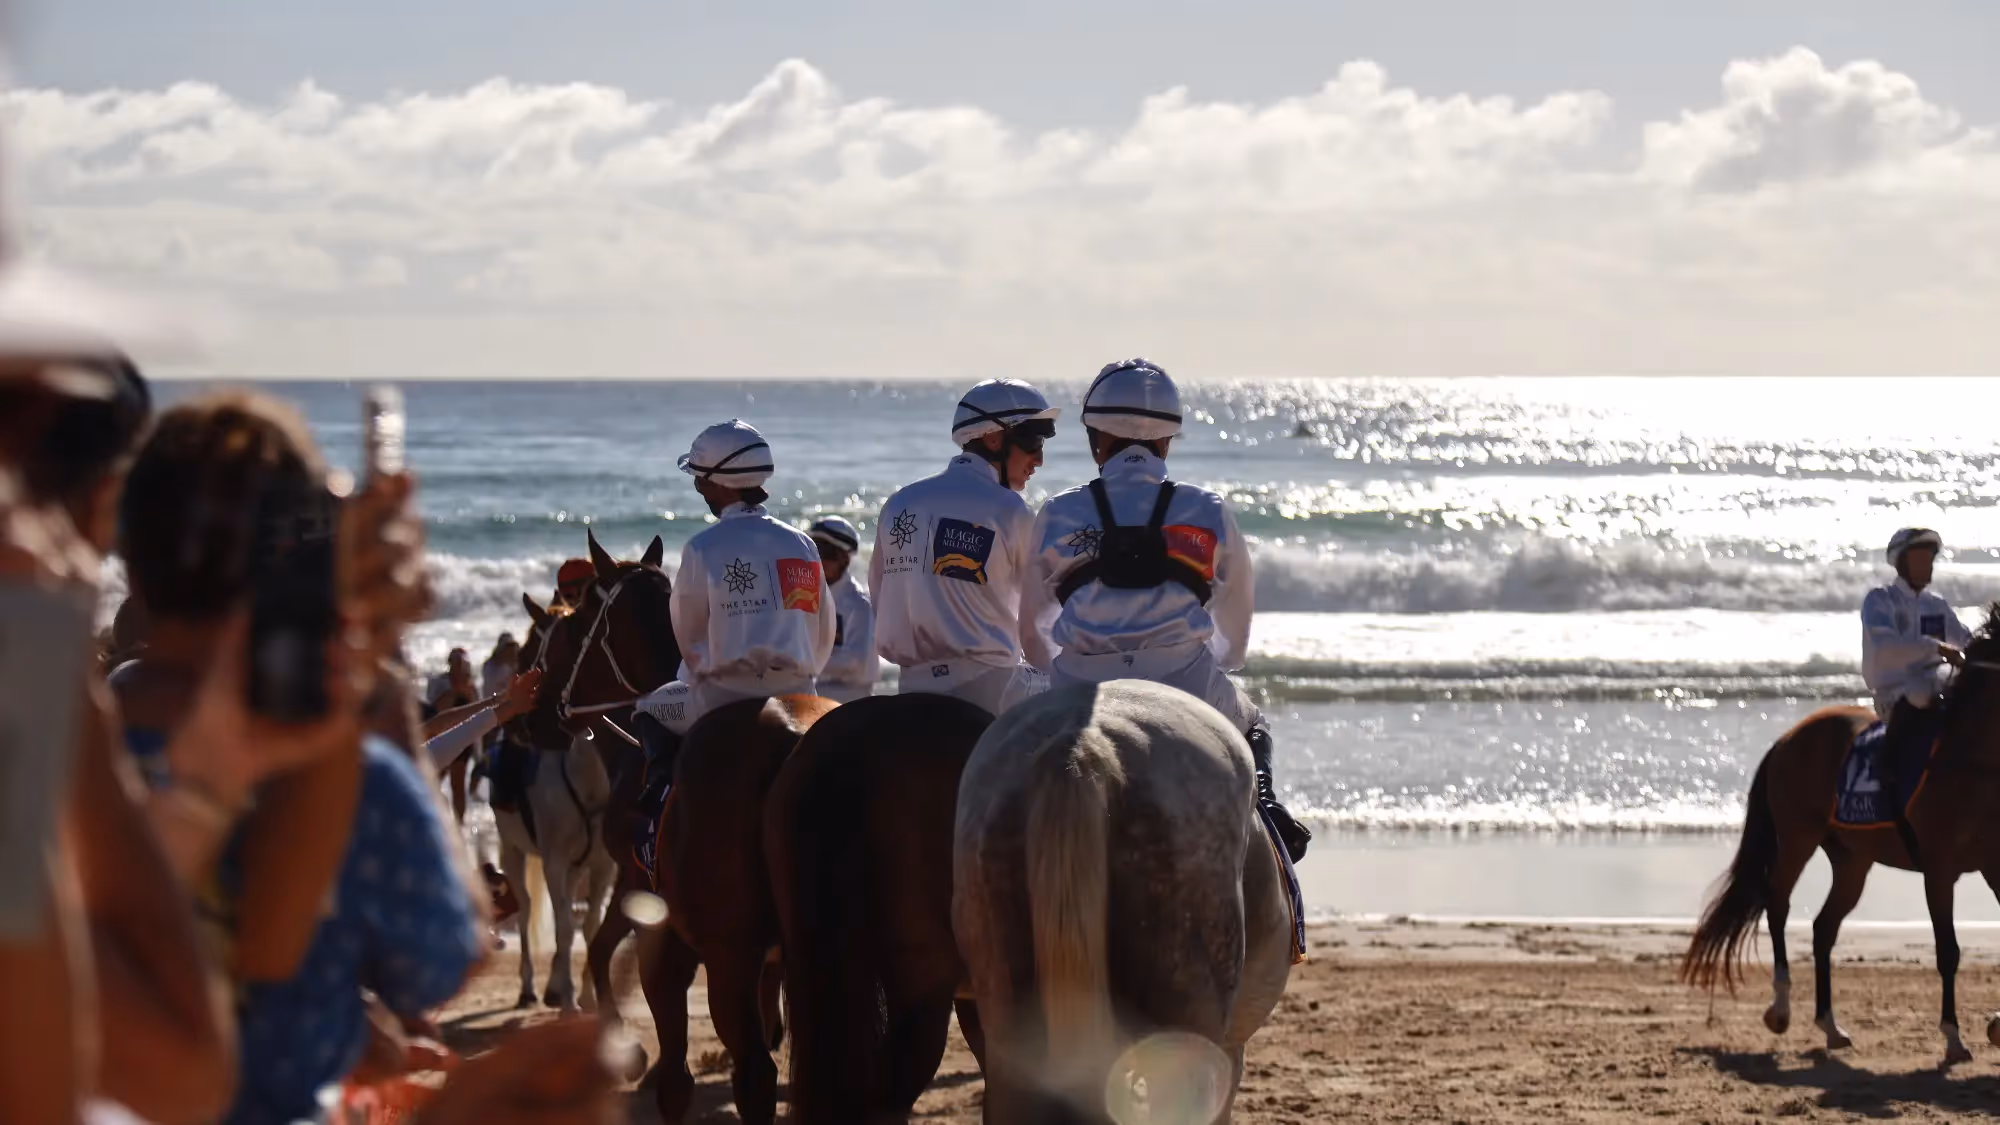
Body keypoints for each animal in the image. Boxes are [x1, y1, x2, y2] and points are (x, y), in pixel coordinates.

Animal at [1681, 603, 2000, 1064]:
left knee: (1823, 928)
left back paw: (1830, 1026)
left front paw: (1995, 1024)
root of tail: (1787, 738)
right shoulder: (1939, 870)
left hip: (1852, 859)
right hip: (1798, 837)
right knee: (1777, 903)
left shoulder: (1993, 865)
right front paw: (1953, 1037)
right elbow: (1948, 951)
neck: (1970, 760)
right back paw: (1780, 1008)